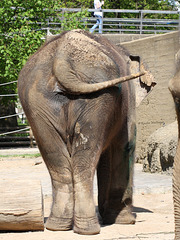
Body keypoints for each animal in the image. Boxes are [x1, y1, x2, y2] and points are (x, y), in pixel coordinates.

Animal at [17, 29, 155, 234]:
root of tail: (62, 57)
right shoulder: (127, 103)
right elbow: (125, 146)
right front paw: (125, 221)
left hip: (35, 98)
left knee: (57, 160)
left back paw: (58, 227)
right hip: (97, 96)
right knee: (85, 159)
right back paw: (89, 229)